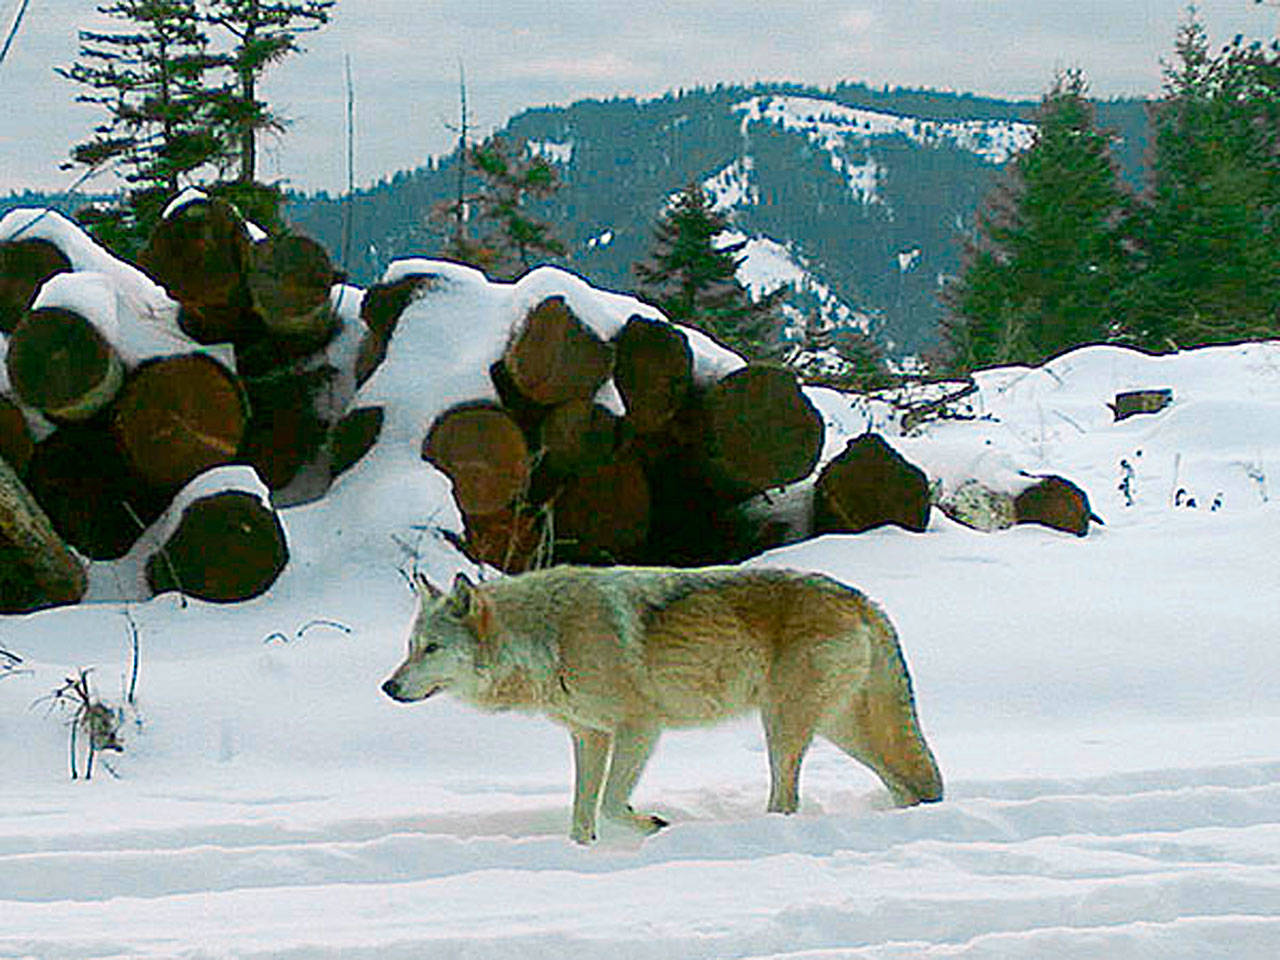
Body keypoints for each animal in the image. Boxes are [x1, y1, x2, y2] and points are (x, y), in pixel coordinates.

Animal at [382, 565, 942, 844]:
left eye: (431, 648)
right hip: (839, 729)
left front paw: (654, 824)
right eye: (410, 647)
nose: (388, 687)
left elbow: (610, 804)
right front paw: (584, 855)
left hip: (784, 728)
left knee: (787, 800)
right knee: (906, 784)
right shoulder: (589, 735)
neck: (550, 637)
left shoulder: (640, 727)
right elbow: (581, 816)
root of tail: (861, 598)